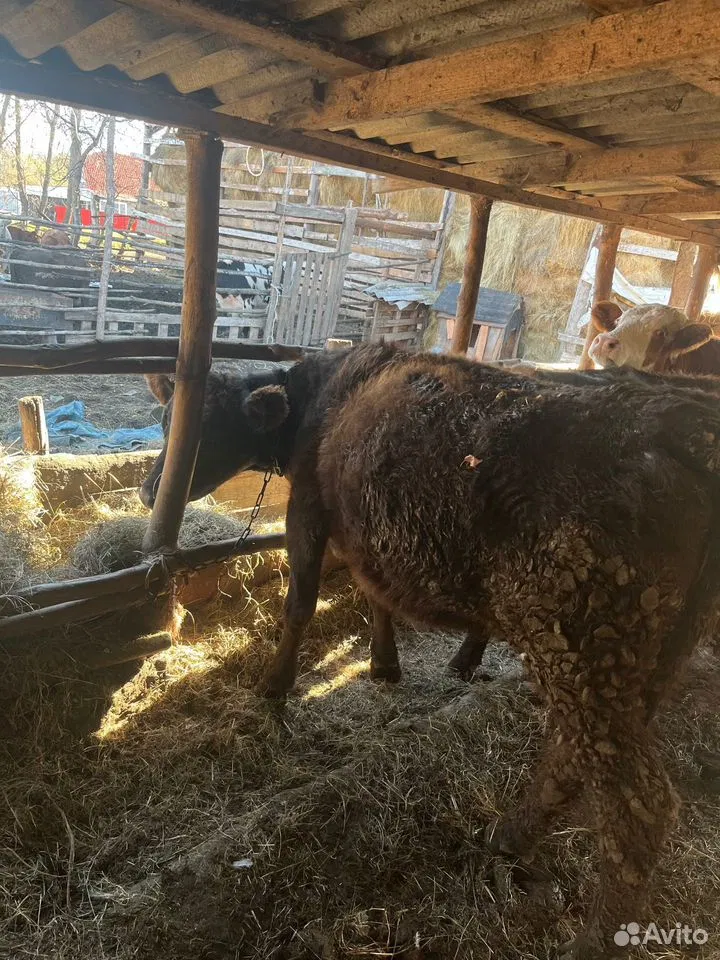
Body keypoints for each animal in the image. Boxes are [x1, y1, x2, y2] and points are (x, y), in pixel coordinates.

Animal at [141, 343, 720, 960]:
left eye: (203, 429)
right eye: (164, 420)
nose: (149, 490)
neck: (323, 395)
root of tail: (683, 417)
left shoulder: (310, 511)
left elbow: (301, 601)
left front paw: (275, 685)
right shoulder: (365, 535)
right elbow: (377, 598)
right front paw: (384, 664)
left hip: (581, 645)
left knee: (637, 809)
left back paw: (588, 936)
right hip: (649, 655)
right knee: (570, 758)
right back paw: (508, 837)